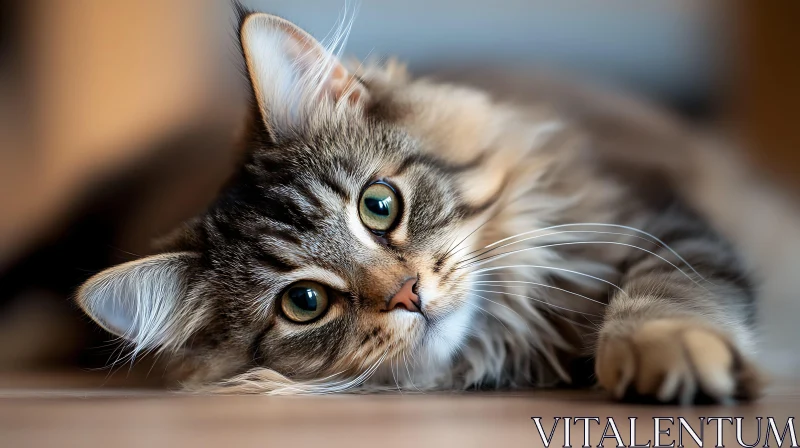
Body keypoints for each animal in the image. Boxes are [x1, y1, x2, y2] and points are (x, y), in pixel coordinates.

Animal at [75, 4, 764, 402]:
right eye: (305, 302)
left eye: (379, 206)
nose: (408, 293)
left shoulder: (657, 221)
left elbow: (662, 288)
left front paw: (666, 348)